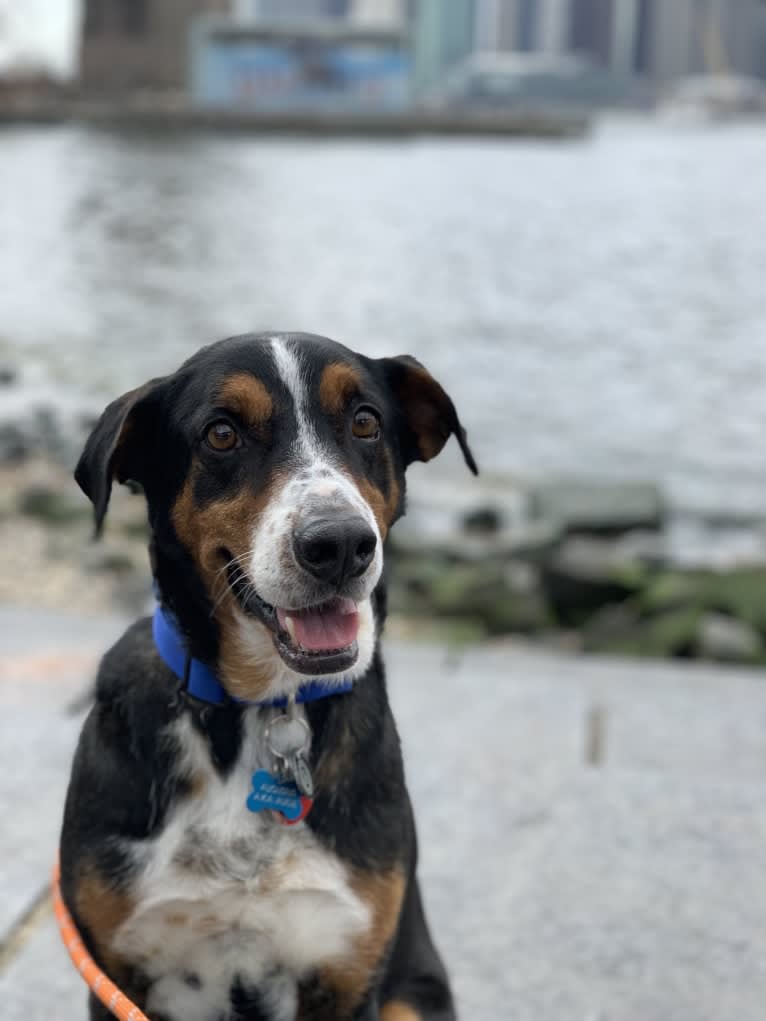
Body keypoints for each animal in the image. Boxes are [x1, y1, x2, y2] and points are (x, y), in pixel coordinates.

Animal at [61, 334, 480, 1021]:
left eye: (365, 421)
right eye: (221, 433)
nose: (340, 545)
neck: (261, 706)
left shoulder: (346, 971)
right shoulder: (115, 971)